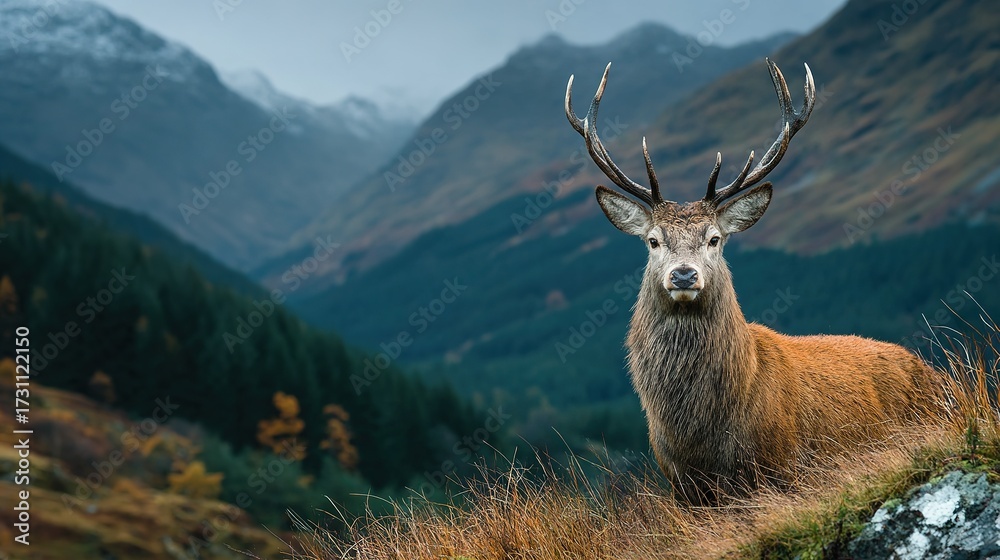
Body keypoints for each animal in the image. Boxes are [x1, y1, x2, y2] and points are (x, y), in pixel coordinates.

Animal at [564, 59, 947, 503]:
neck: (700, 434)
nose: (683, 274)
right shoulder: (680, 483)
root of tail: (935, 375)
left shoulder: (780, 467)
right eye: (653, 240)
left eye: (715, 238)